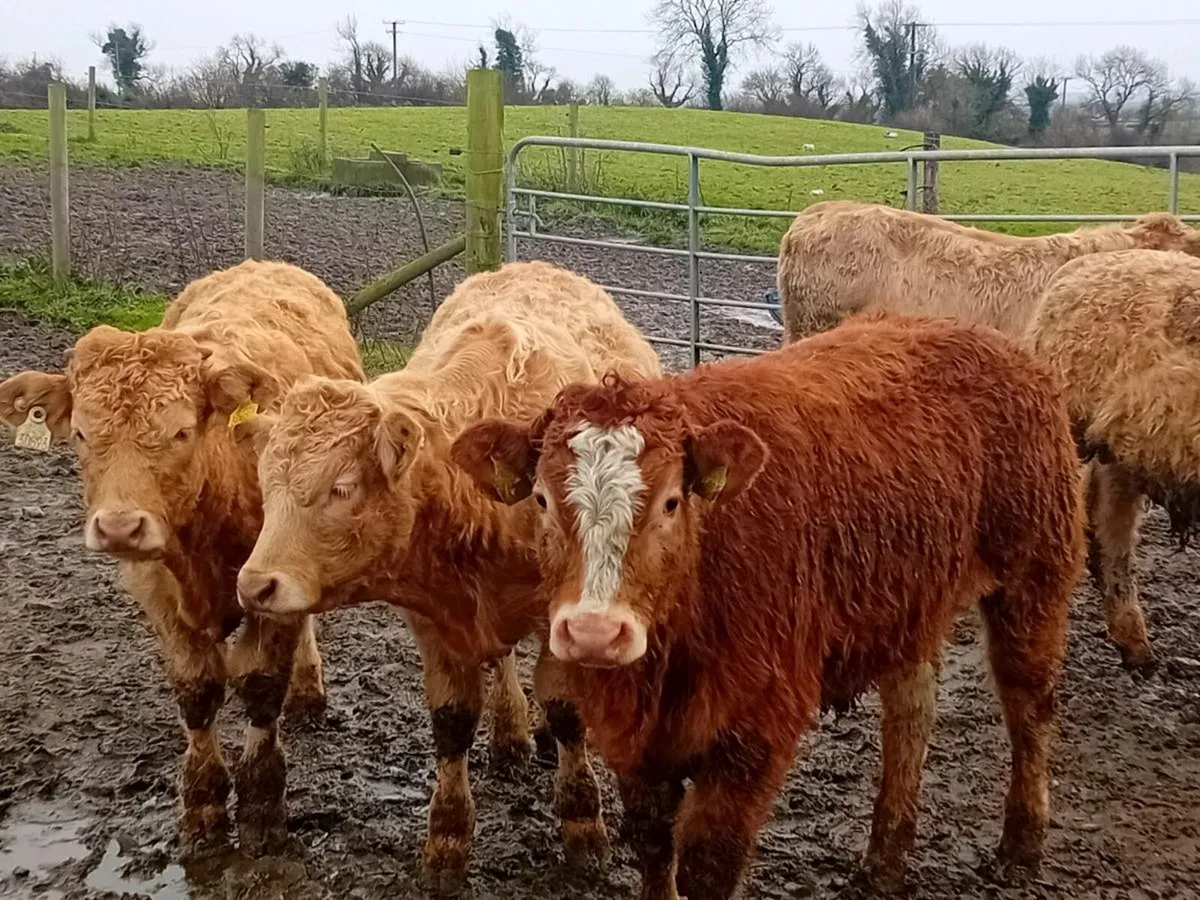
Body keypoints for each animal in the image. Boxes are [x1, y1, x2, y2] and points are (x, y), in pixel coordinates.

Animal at [0, 260, 364, 860]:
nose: (119, 527)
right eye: (80, 433)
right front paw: (204, 807)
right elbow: (197, 692)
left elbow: (261, 684)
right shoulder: (156, 589)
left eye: (180, 431)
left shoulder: (272, 583)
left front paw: (261, 807)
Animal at [233, 260, 661, 892]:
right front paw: (447, 843)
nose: (255, 584)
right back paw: (510, 735)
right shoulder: (436, 620)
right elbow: (452, 723)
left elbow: (566, 714)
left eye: (341, 487)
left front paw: (584, 828)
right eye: (265, 483)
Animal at [453, 314, 1086, 900]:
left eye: (671, 502)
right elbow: (654, 845)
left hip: (1034, 572)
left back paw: (1021, 843)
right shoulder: (633, 735)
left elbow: (709, 863)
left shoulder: (754, 726)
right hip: (908, 605)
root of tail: (993, 342)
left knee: (1030, 705)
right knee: (911, 713)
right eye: (540, 499)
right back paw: (884, 860)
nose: (592, 632)